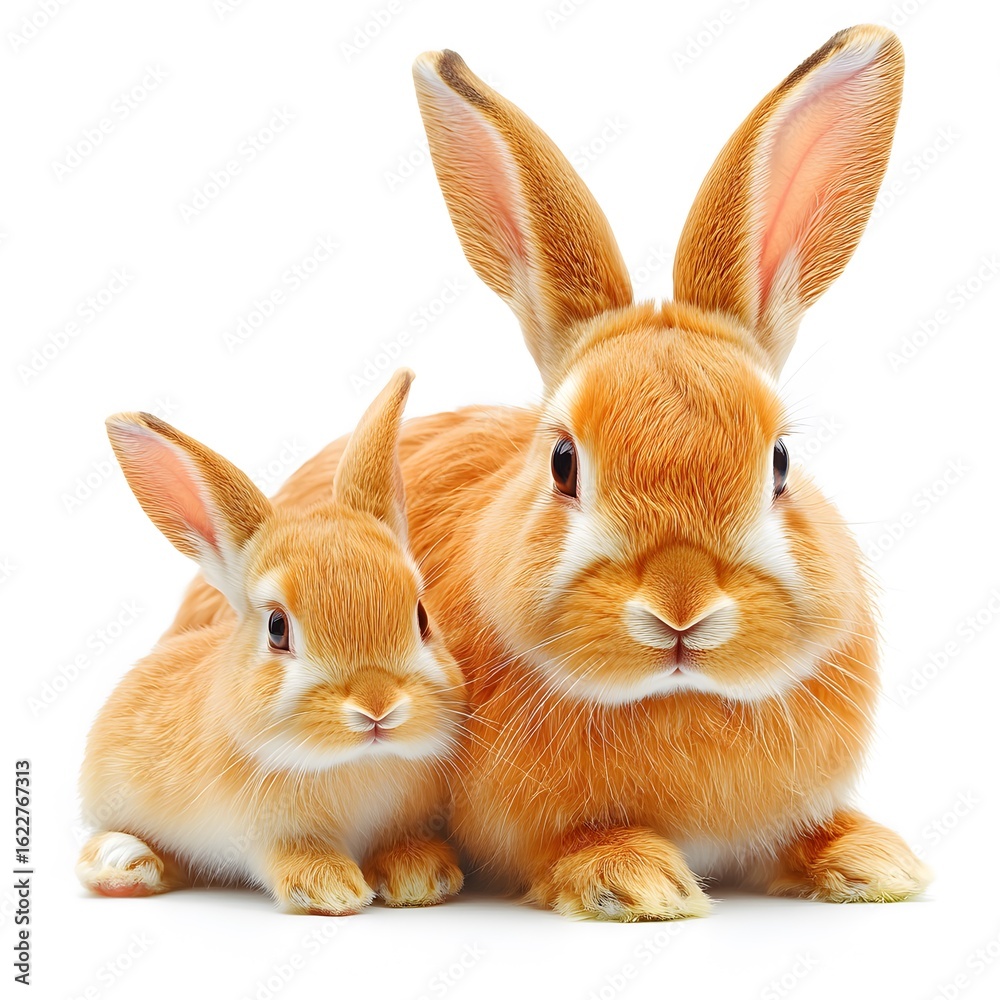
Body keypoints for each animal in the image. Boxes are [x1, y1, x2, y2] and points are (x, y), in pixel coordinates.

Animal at [76, 369, 466, 914]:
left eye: (422, 615)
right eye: (277, 628)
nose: (377, 706)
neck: (354, 762)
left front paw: (420, 879)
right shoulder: (265, 836)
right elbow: (292, 855)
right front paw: (332, 890)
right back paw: (122, 864)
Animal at [171, 26, 931, 919]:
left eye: (780, 463)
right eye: (564, 461)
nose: (680, 608)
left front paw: (874, 860)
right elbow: (566, 847)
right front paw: (635, 879)